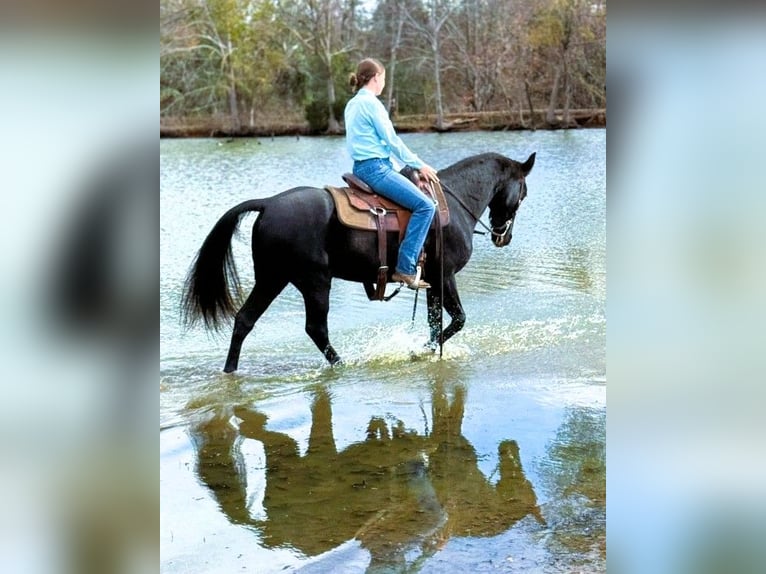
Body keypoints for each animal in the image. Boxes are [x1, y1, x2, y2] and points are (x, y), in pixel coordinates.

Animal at [183, 152, 536, 374]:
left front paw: (424, 350)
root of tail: (269, 203)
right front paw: (420, 350)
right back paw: (342, 364)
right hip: (314, 281)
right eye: (522, 193)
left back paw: (230, 371)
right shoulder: (445, 275)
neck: (452, 202)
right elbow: (458, 320)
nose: (503, 236)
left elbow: (436, 321)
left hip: (273, 278)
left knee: (245, 320)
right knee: (316, 328)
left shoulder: (432, 281)